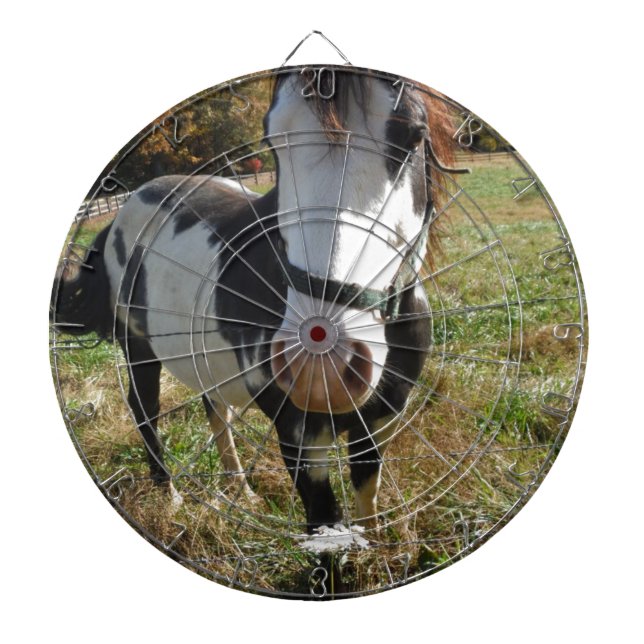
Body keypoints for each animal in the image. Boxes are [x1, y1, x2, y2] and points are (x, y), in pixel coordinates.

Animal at [53, 68, 458, 534]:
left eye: (413, 135)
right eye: (273, 139)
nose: (323, 370)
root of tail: (125, 210)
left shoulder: (378, 424)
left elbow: (367, 504)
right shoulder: (300, 441)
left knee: (215, 409)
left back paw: (240, 490)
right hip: (138, 350)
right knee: (146, 411)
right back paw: (170, 495)